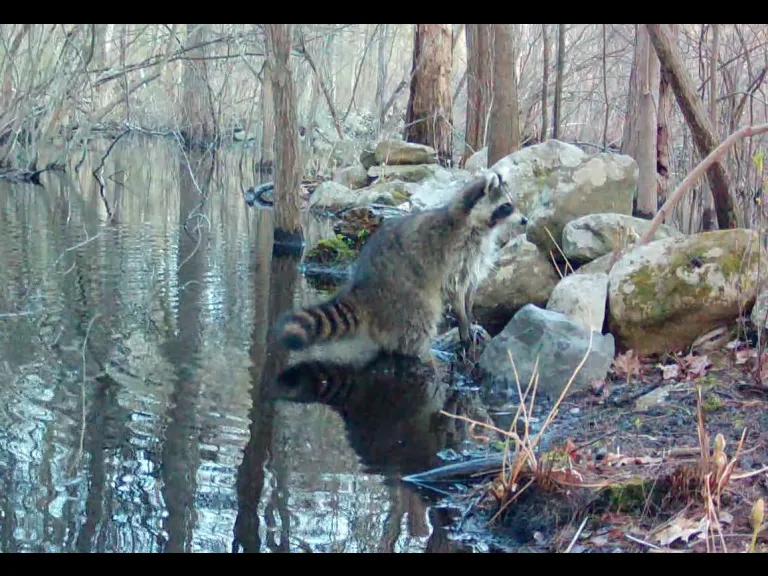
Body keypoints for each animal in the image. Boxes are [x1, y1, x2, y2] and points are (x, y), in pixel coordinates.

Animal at [274, 170, 517, 359]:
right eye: (506, 206)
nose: (523, 220)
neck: (480, 226)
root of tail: (362, 287)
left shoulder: (476, 257)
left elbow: (469, 288)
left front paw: (470, 316)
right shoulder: (455, 255)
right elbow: (455, 289)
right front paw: (463, 323)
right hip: (403, 294)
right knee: (421, 316)